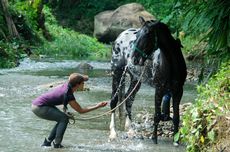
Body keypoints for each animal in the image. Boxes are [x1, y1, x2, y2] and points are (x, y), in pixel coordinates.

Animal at [109, 16, 187, 145]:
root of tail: (120, 36)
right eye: (137, 36)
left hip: (136, 79)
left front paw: (176, 140)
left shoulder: (178, 91)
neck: (170, 64)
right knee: (114, 101)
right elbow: (157, 115)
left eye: (147, 35)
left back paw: (131, 130)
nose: (134, 58)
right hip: (117, 73)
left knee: (128, 99)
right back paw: (113, 133)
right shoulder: (159, 89)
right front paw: (154, 139)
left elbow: (176, 116)